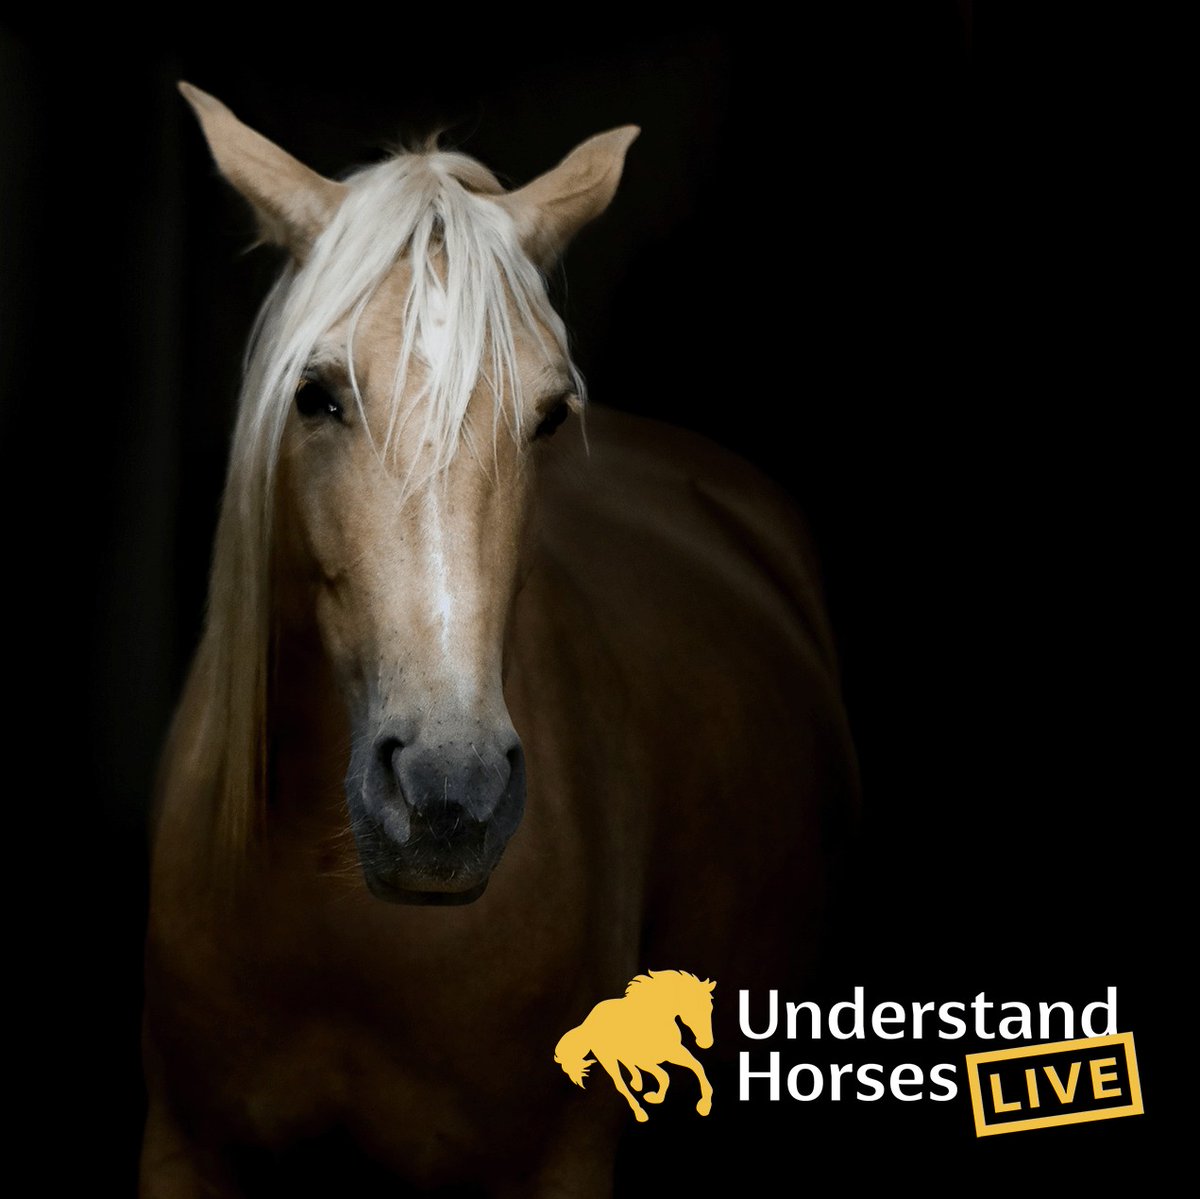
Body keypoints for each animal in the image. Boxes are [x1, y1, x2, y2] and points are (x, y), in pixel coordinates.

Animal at [554, 971, 715, 1124]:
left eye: (710, 1008)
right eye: (695, 1007)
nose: (706, 1043)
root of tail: (587, 1023)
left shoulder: (673, 1051)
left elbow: (697, 1066)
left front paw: (704, 1106)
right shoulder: (647, 1060)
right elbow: (664, 1076)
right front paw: (655, 1097)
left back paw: (637, 1082)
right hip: (608, 1059)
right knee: (621, 1083)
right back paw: (640, 1111)